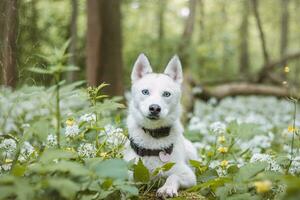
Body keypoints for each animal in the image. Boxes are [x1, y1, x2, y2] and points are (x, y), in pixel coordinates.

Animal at [123, 53, 198, 197]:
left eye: (166, 94)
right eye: (145, 92)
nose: (154, 108)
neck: (154, 135)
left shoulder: (189, 175)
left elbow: (173, 176)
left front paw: (167, 188)